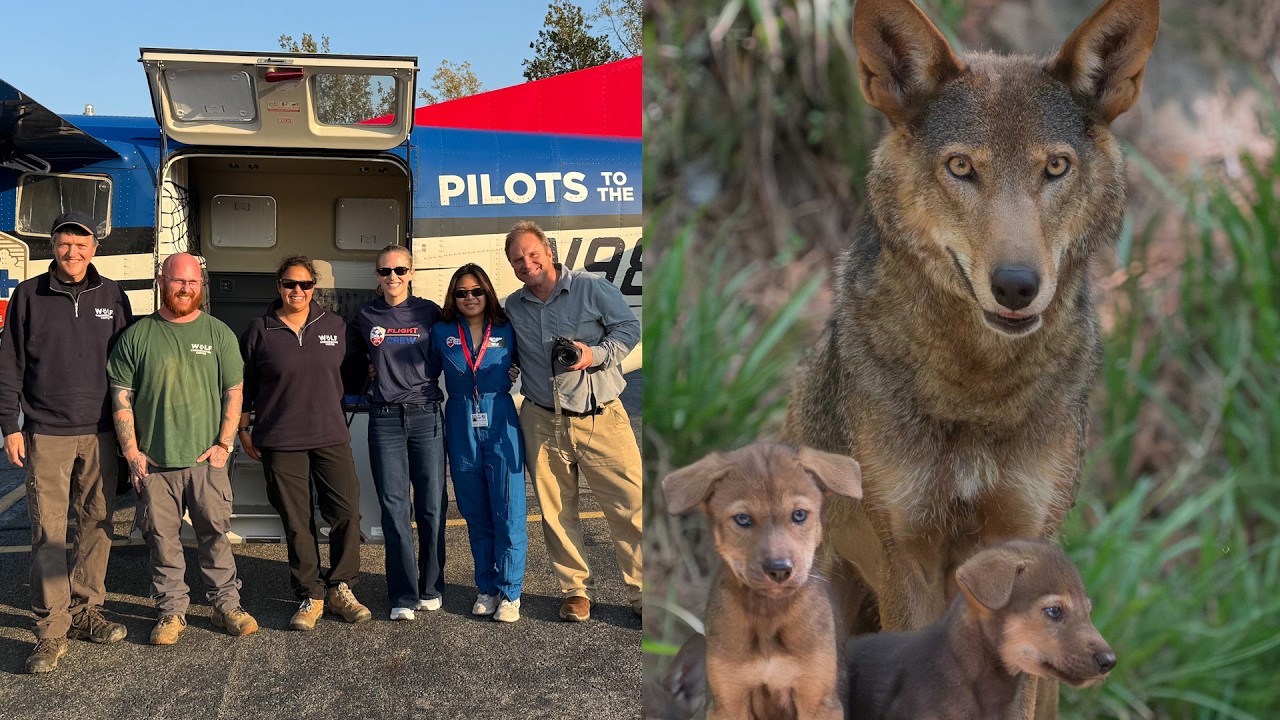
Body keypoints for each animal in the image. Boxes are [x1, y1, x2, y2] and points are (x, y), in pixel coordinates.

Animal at [782, 0, 1158, 652]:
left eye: (1055, 167)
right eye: (961, 167)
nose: (1016, 285)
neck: (978, 387)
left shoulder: (1026, 543)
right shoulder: (907, 557)